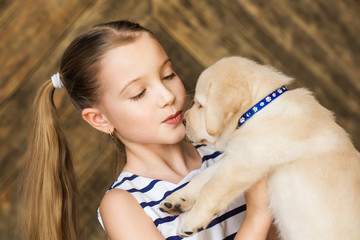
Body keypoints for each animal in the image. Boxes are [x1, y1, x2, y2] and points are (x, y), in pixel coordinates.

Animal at [160, 56, 360, 238]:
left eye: (200, 105)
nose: (184, 121)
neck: (258, 110)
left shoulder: (246, 160)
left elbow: (211, 187)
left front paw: (191, 221)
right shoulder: (239, 155)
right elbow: (203, 177)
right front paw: (179, 199)